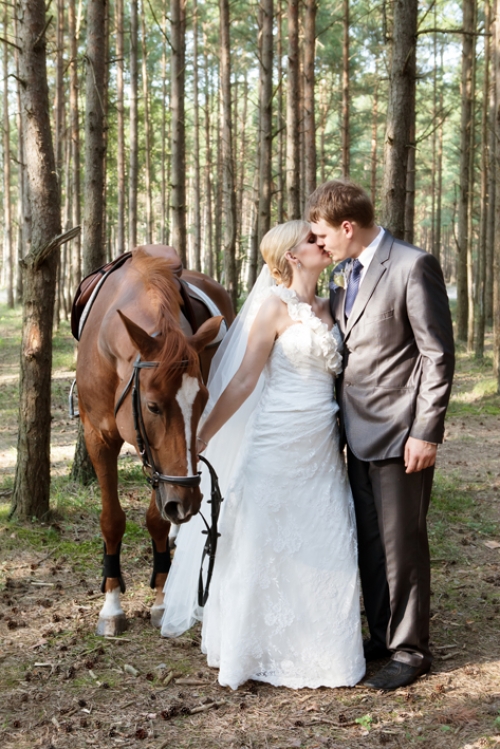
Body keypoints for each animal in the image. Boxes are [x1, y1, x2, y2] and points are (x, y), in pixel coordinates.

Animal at [75, 248, 234, 636]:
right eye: (153, 406)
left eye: (202, 400)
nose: (187, 503)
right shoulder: (97, 437)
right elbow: (111, 520)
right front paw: (111, 605)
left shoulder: (164, 462)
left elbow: (156, 519)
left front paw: (162, 597)